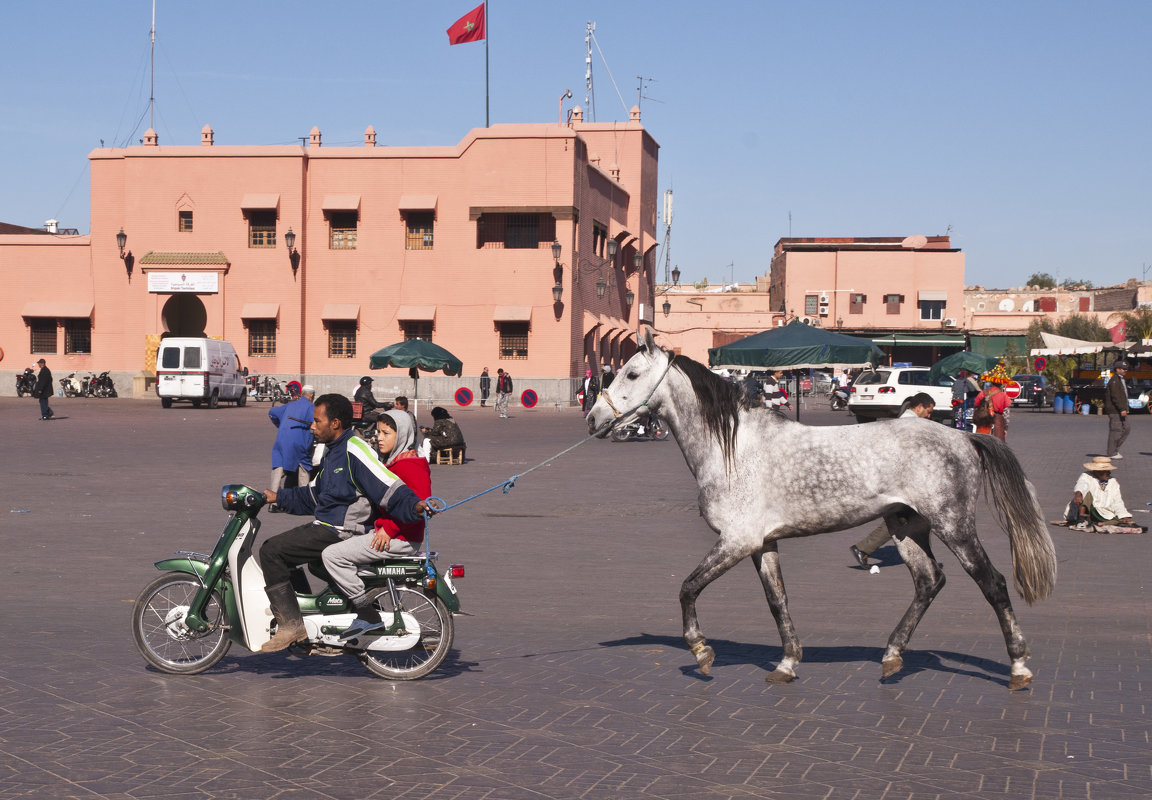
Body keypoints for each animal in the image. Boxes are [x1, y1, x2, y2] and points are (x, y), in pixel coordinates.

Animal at [589, 329, 1055, 691]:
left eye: (632, 373)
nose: (593, 420)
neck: (733, 449)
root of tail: (964, 438)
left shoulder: (736, 541)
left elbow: (688, 588)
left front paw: (701, 651)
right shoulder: (761, 544)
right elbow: (777, 600)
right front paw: (787, 663)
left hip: (954, 525)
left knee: (993, 584)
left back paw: (1018, 667)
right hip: (906, 527)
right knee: (929, 581)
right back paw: (892, 656)